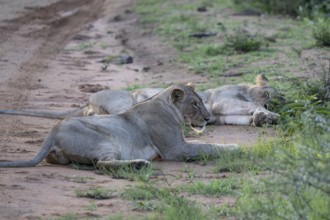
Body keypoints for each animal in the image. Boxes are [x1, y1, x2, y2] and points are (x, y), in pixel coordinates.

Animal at [0, 84, 238, 168]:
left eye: (201, 102)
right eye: (195, 103)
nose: (207, 118)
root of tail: (52, 132)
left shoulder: (180, 144)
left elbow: (201, 142)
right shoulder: (175, 149)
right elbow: (207, 147)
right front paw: (235, 148)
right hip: (105, 141)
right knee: (101, 164)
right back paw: (140, 164)